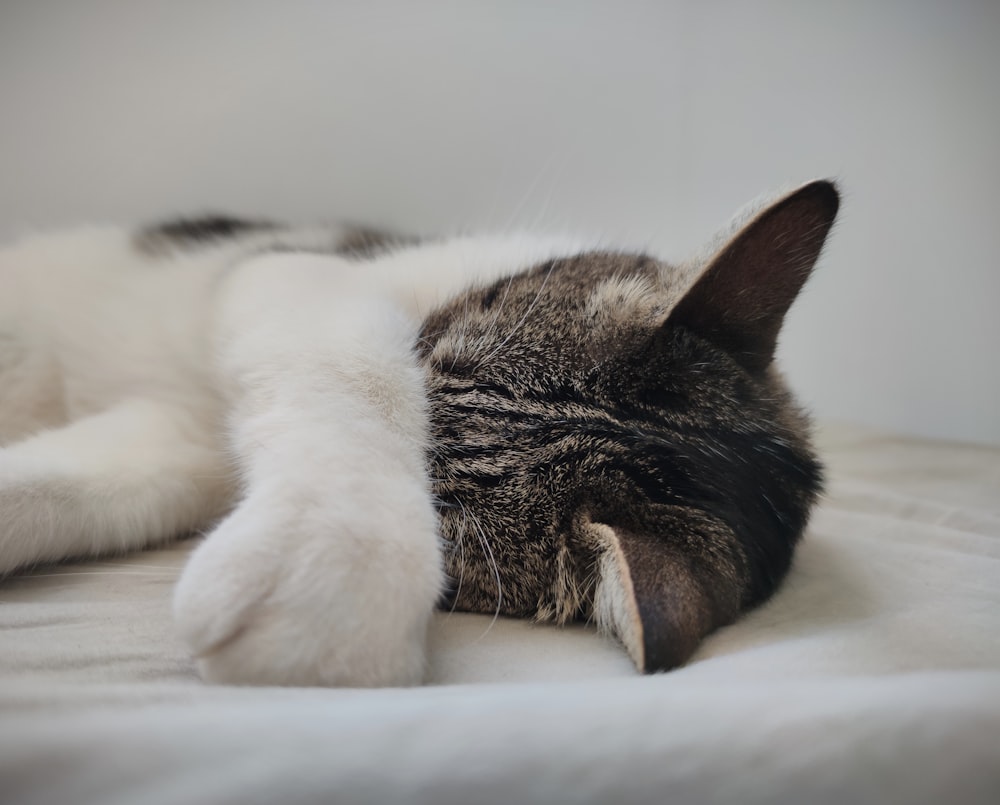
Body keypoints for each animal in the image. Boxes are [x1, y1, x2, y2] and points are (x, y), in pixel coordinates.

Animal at [0, 181, 836, 684]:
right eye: (432, 348)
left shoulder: (177, 439)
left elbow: (69, 485)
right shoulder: (296, 273)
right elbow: (358, 365)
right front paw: (339, 550)